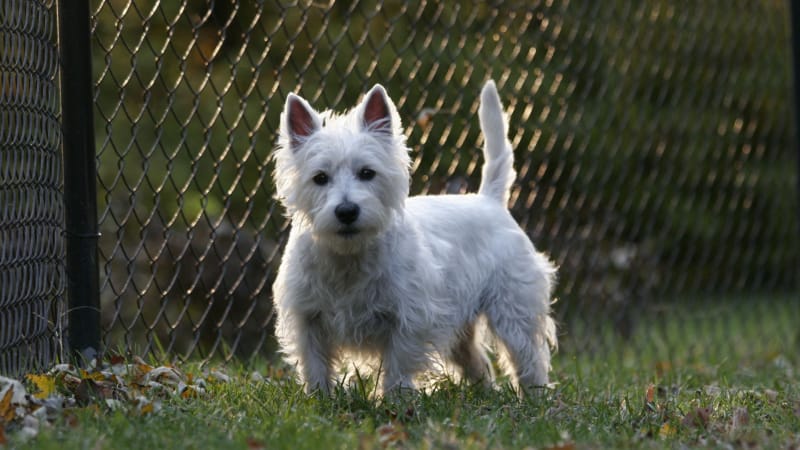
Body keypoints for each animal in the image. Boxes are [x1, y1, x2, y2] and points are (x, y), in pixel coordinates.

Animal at [272, 80, 552, 394]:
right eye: (320, 178)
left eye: (367, 173)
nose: (346, 211)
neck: (348, 256)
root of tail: (489, 200)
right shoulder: (307, 318)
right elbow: (315, 365)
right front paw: (320, 397)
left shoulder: (410, 317)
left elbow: (398, 364)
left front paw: (394, 399)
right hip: (464, 326)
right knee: (477, 361)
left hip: (512, 307)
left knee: (527, 355)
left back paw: (535, 396)